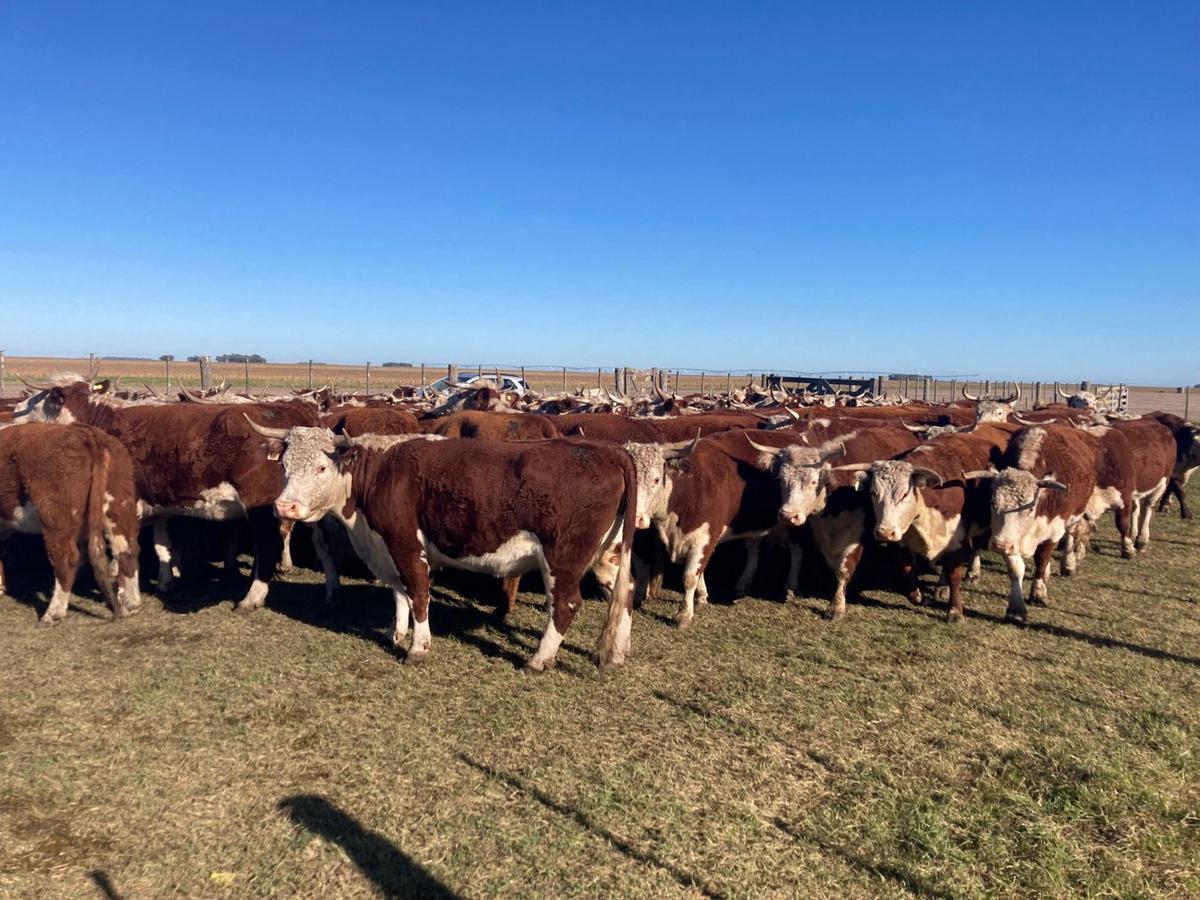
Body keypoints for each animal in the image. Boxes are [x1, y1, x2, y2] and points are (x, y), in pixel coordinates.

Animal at [0, 424, 139, 624]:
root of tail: (86, 433)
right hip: (119, 506)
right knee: (127, 550)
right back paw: (130, 604)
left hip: (56, 517)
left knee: (66, 560)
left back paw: (53, 614)